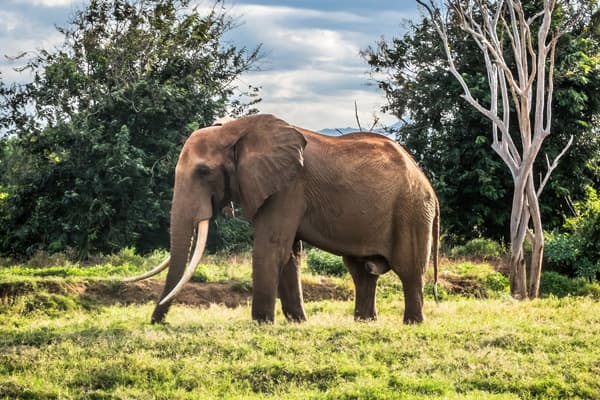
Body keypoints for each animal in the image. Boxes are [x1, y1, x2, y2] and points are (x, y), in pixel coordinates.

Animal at [126, 113, 438, 324]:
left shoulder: (288, 187)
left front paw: (261, 324)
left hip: (411, 211)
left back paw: (412, 324)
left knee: (409, 270)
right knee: (362, 271)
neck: (236, 130)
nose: (157, 322)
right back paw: (364, 322)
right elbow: (288, 254)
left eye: (203, 172)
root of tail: (427, 183)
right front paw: (297, 322)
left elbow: (271, 247)